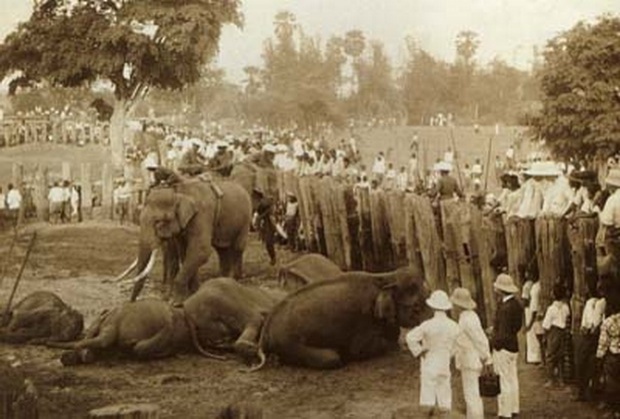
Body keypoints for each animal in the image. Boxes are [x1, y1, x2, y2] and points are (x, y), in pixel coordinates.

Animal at [114, 177, 252, 306]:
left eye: (158, 222)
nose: (131, 302)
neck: (178, 192)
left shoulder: (202, 215)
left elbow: (201, 251)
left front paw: (176, 303)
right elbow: (185, 253)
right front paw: (194, 294)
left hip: (245, 220)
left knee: (237, 248)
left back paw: (233, 283)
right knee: (222, 251)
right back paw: (222, 283)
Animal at [249, 268, 428, 370]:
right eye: (416, 307)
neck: (384, 278)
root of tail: (265, 333)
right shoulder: (362, 322)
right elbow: (360, 350)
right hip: (288, 342)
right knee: (331, 358)